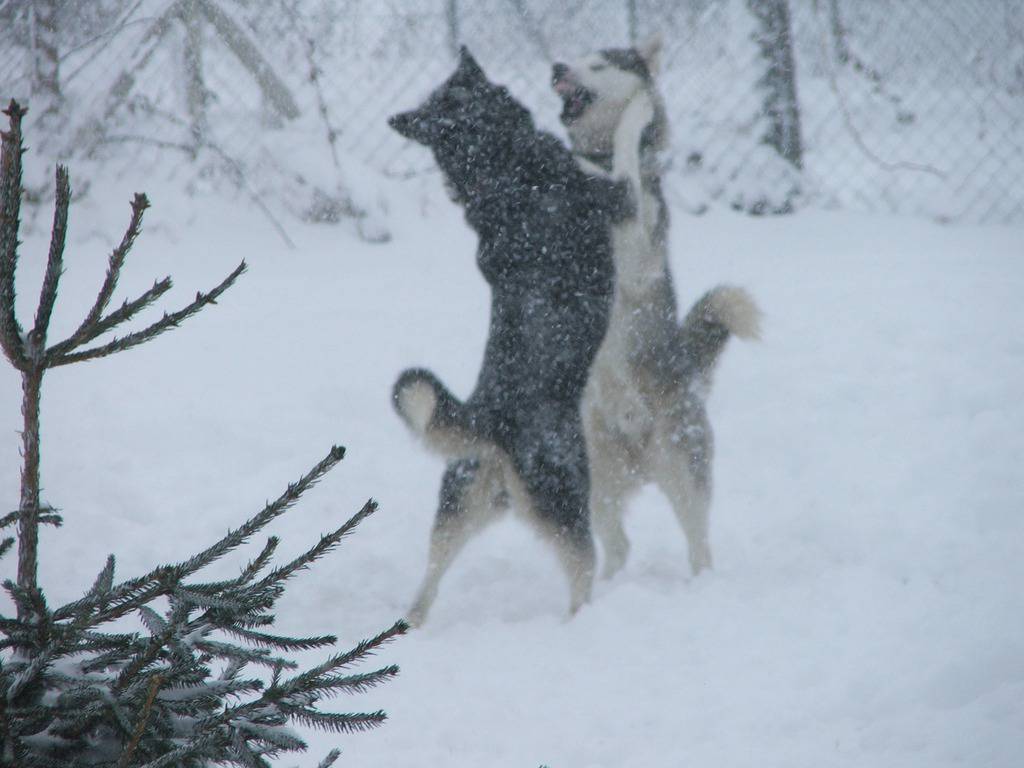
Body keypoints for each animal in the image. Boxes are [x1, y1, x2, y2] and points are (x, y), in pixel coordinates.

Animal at [387, 46, 618, 626]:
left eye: (453, 99)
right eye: (448, 113)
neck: (504, 169)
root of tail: (489, 423)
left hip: (457, 509)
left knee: (428, 581)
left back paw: (410, 625)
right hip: (565, 498)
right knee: (581, 567)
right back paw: (579, 619)